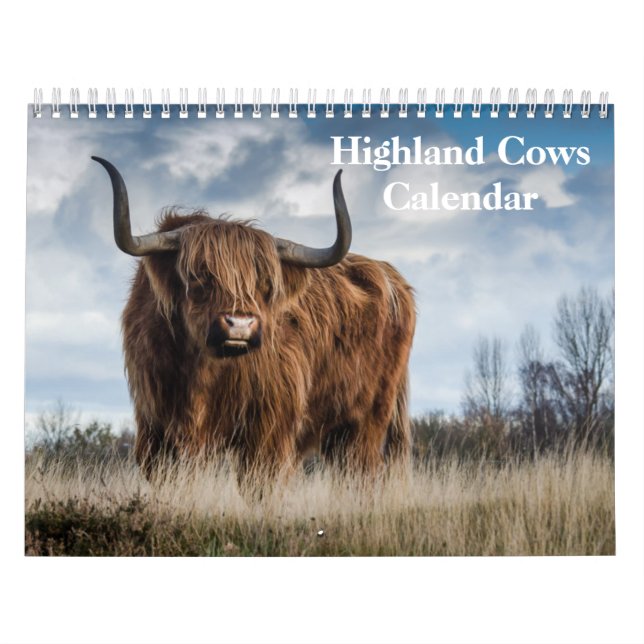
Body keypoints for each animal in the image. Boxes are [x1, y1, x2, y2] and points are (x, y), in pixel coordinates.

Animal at [92, 156, 415, 478]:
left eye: (265, 283)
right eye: (199, 276)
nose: (240, 325)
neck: (201, 373)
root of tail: (391, 276)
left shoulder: (269, 429)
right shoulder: (155, 428)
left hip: (366, 422)